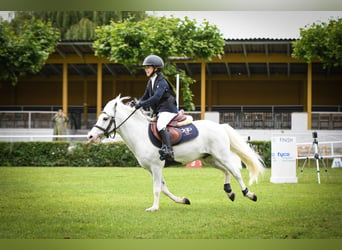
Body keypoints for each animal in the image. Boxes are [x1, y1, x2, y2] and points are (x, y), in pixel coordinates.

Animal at [87, 95, 264, 211]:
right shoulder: (151, 169)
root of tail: (220, 126)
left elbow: (157, 188)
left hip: (222, 155)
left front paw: (154, 208)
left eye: (105, 118)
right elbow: (164, 188)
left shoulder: (156, 167)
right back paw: (229, 192)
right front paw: (183, 200)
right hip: (209, 159)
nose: (90, 137)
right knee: (226, 171)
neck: (140, 134)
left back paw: (249, 194)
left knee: (235, 172)